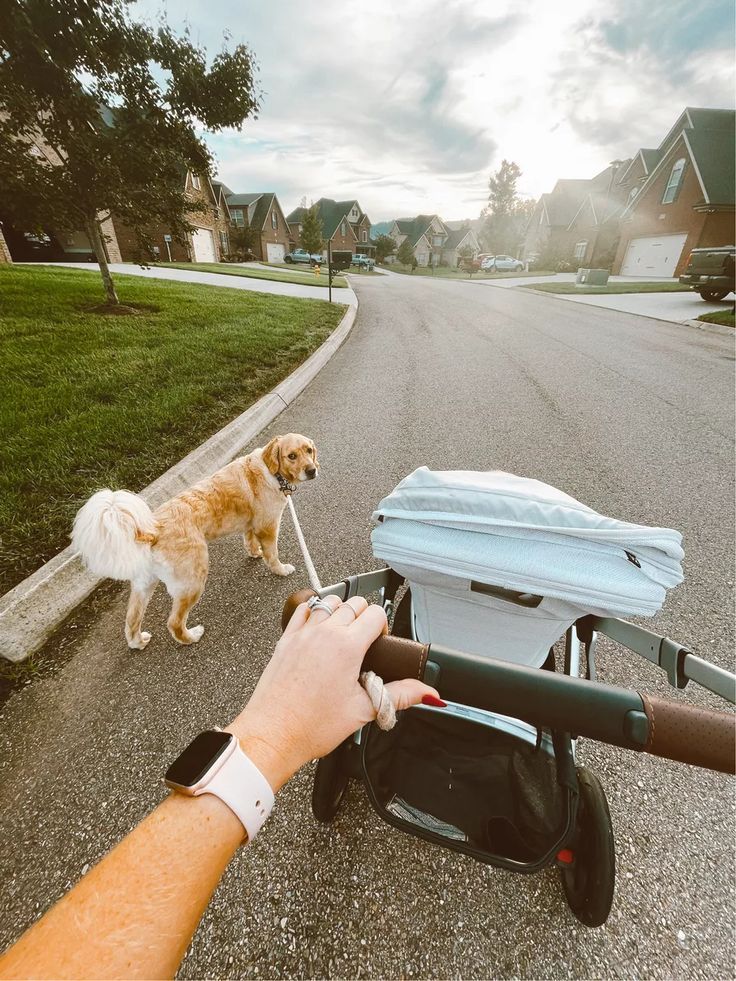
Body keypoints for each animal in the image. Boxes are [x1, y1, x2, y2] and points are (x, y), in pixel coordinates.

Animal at [69, 436, 320, 652]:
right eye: (291, 455)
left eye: (309, 450)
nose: (312, 470)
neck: (270, 470)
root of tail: (151, 530)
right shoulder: (268, 527)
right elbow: (272, 554)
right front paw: (280, 569)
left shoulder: (251, 524)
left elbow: (249, 541)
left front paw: (254, 553)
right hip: (193, 580)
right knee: (174, 622)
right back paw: (191, 636)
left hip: (144, 586)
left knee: (132, 620)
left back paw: (137, 642)